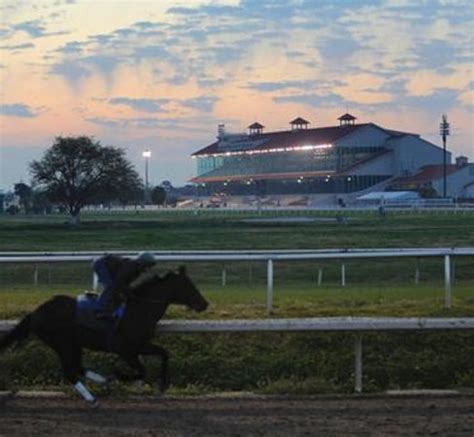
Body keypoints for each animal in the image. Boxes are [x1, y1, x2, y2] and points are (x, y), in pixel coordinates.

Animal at [0, 266, 207, 406]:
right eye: (188, 286)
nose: (204, 304)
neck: (137, 310)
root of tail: (35, 312)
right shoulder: (125, 350)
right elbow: (142, 371)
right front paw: (119, 374)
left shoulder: (140, 345)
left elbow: (164, 353)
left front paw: (162, 385)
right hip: (62, 343)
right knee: (70, 371)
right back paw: (92, 398)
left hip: (74, 344)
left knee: (78, 367)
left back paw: (102, 381)